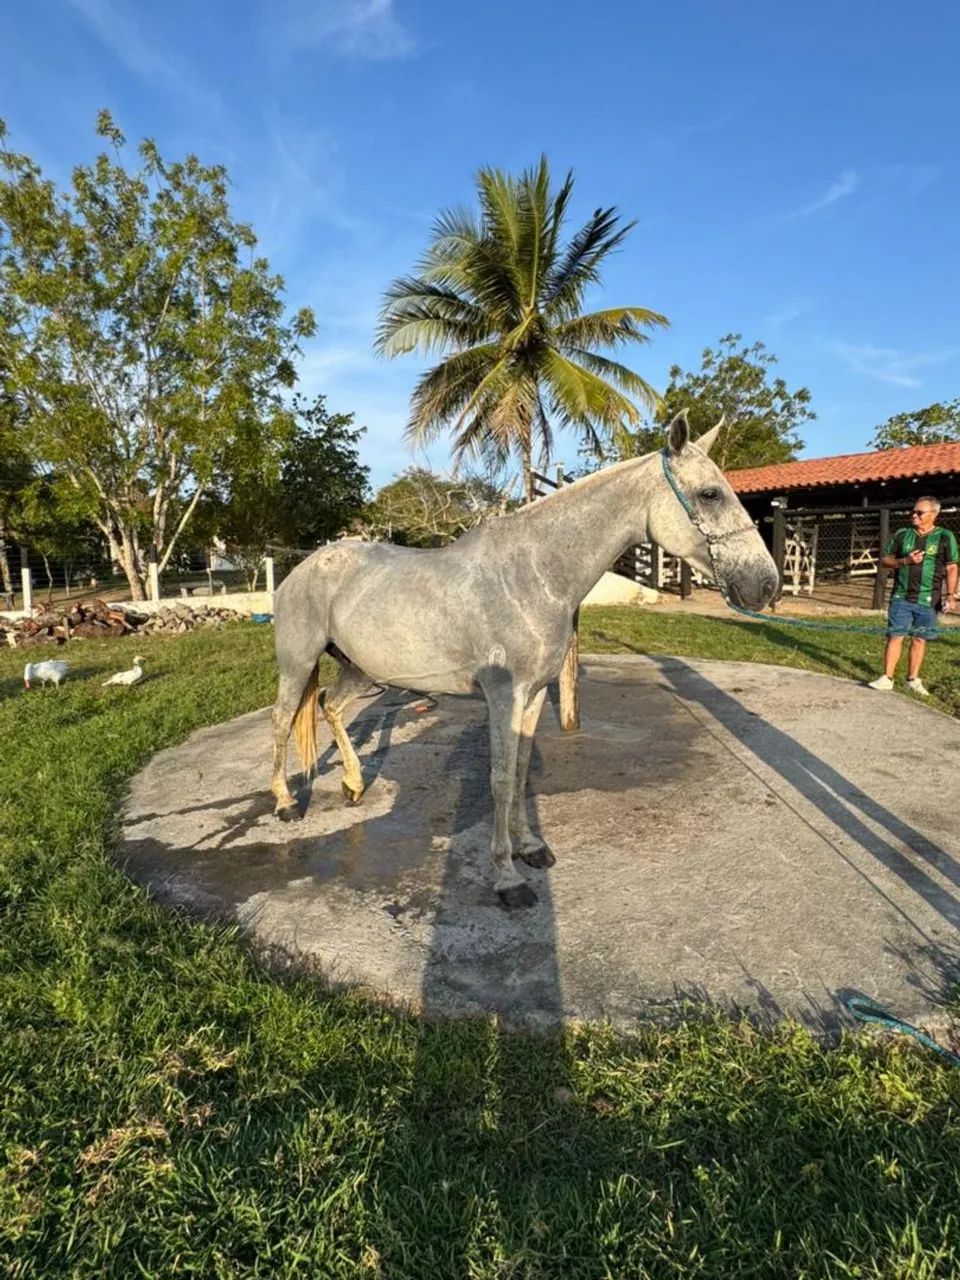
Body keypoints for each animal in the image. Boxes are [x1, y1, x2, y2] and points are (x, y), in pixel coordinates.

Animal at [269, 410, 779, 908]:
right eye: (710, 494)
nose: (766, 584)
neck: (531, 576)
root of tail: (306, 565)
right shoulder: (504, 695)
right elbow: (499, 777)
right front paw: (506, 876)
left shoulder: (532, 694)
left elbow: (520, 772)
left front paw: (530, 846)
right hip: (297, 665)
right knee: (281, 722)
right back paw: (285, 804)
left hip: (361, 671)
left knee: (330, 707)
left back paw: (354, 785)